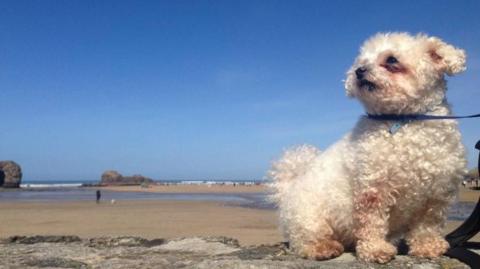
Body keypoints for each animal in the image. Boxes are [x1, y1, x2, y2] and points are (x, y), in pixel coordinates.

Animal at [270, 32, 468, 262]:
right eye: (361, 61)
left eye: (391, 60)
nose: (359, 71)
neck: (403, 119)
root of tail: (289, 190)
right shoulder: (373, 188)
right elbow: (371, 223)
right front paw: (375, 250)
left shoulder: (436, 195)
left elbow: (427, 226)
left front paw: (427, 247)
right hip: (310, 217)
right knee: (303, 241)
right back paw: (322, 247)